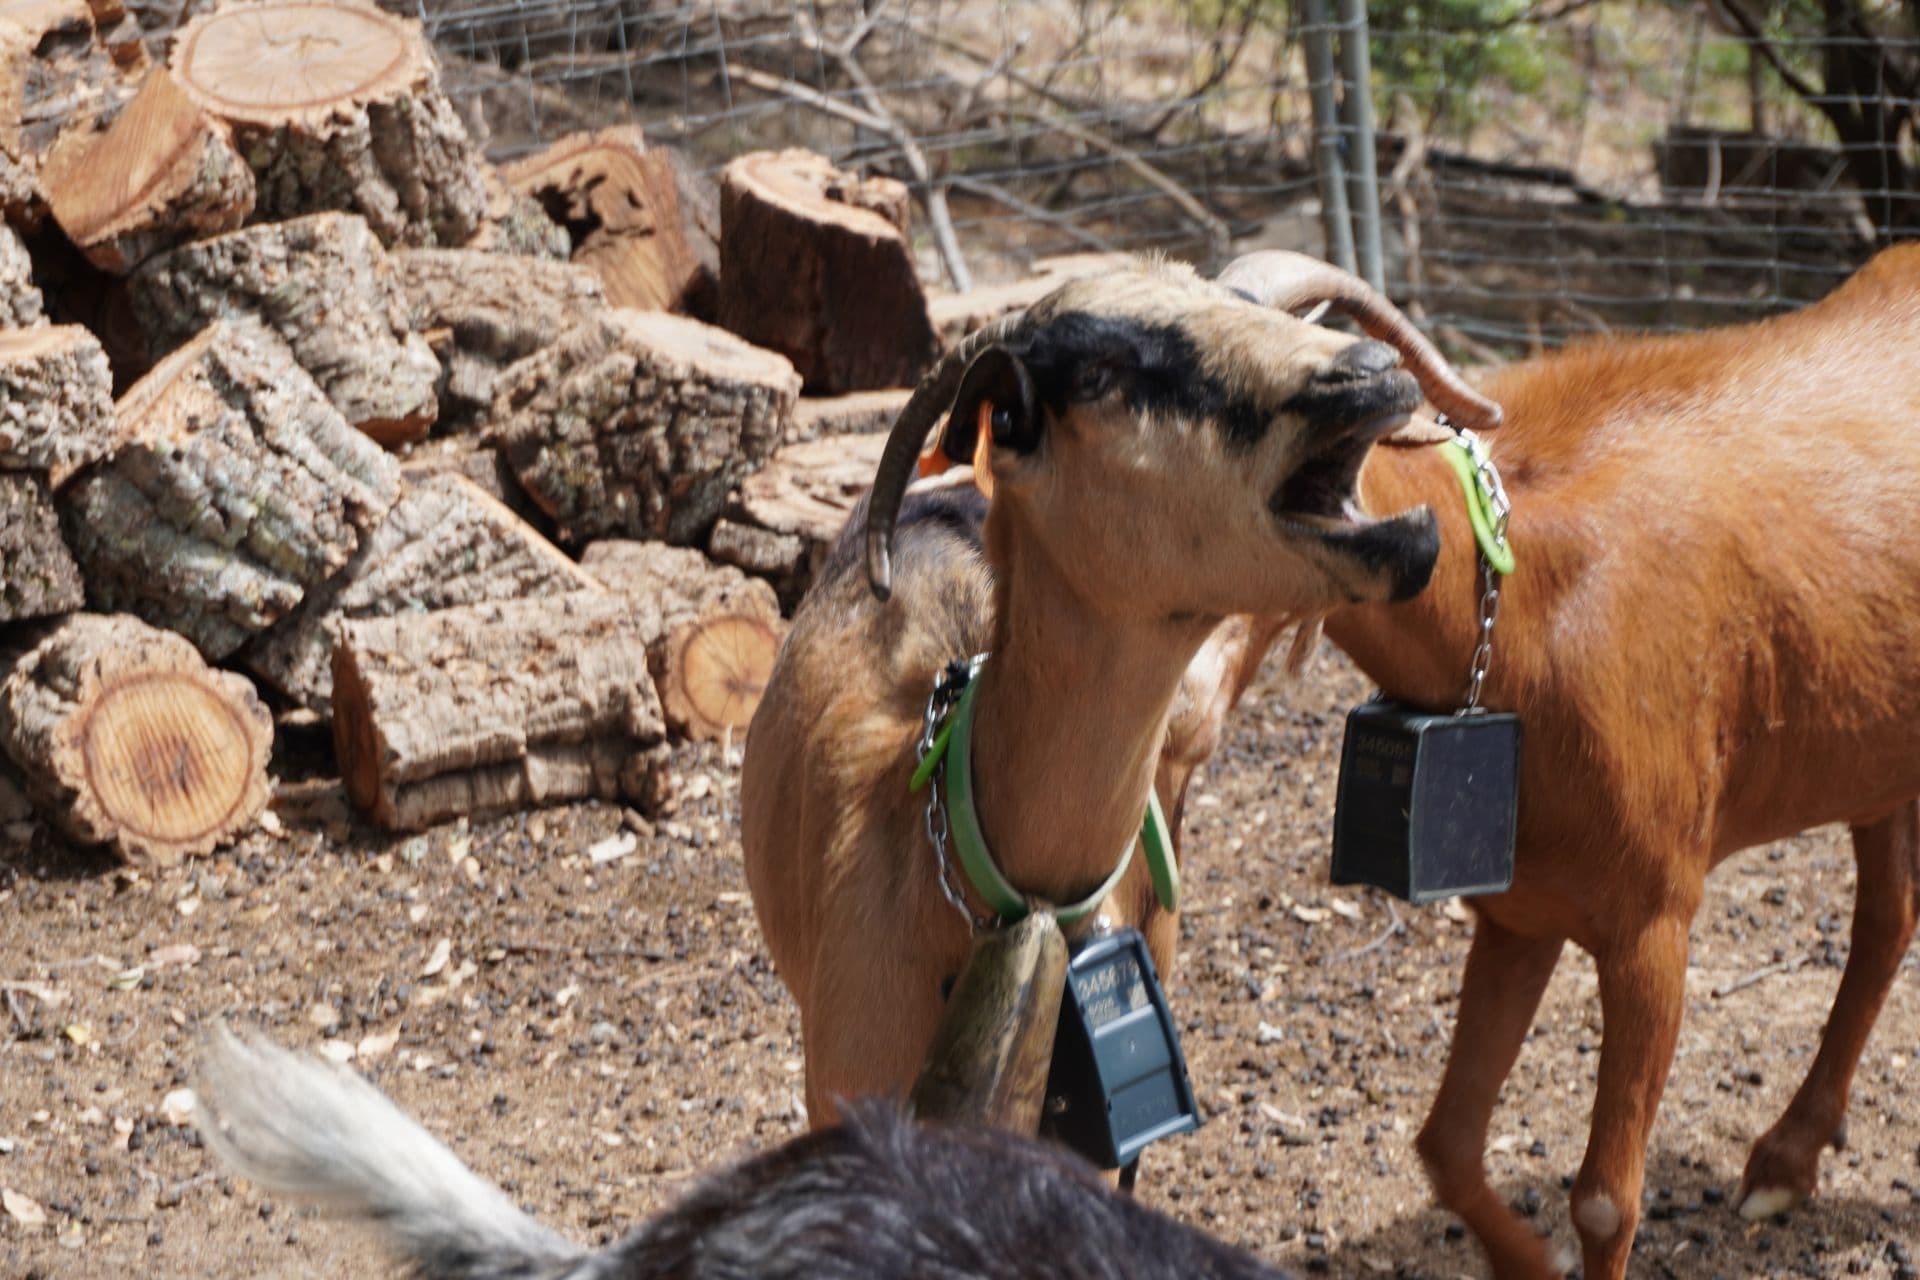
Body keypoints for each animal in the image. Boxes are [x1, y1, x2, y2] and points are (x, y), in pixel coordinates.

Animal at [1214, 245, 1920, 1280]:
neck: (1521, 607)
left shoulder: (1654, 924)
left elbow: (1604, 1201)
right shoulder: (1519, 909)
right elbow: (1446, 1144)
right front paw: (1529, 1261)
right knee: (1886, 920)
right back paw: (1788, 1159)